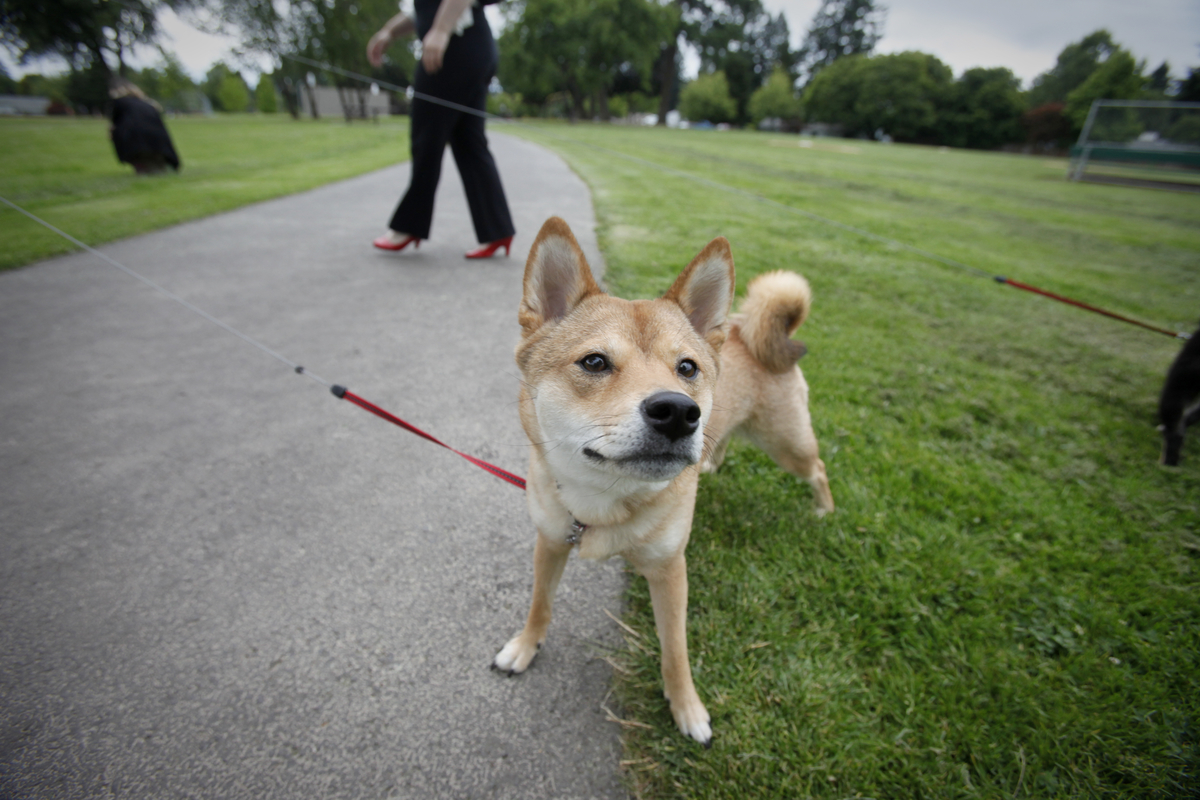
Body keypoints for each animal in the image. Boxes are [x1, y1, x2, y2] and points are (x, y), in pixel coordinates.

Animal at [492, 217, 830, 743]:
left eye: (686, 367)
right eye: (594, 361)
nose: (678, 412)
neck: (601, 504)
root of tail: (745, 332)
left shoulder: (670, 570)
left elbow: (675, 651)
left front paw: (686, 708)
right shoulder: (549, 541)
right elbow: (539, 605)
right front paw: (525, 646)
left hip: (787, 444)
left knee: (818, 469)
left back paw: (822, 510)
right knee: (726, 441)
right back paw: (712, 464)